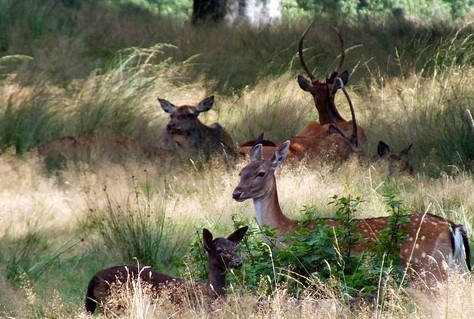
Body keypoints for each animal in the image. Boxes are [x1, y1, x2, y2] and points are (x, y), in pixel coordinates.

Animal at [84, 226, 248, 316]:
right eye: (219, 250)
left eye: (235, 247)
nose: (238, 262)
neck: (211, 292)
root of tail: (93, 279)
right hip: (112, 305)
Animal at [231, 141, 470, 284]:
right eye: (241, 172)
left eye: (261, 173)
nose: (236, 192)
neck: (287, 232)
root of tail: (453, 227)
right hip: (455, 265)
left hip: (427, 265)